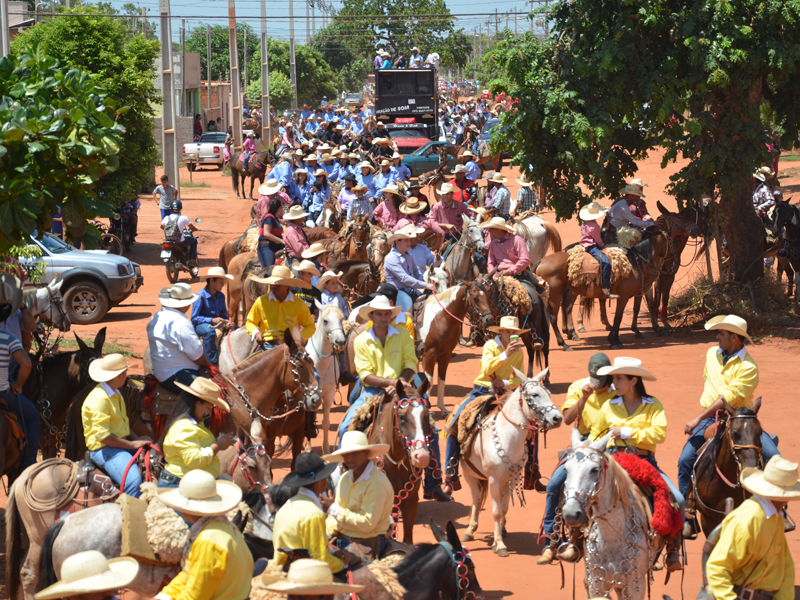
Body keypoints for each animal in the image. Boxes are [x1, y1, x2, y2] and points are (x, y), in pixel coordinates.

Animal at [304, 302, 346, 452]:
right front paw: (308, 448)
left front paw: (326, 449)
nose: (340, 342)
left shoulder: (329, 393)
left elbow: (326, 423)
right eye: (325, 321)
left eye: (342, 318)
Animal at [460, 366, 560, 556]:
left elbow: (504, 509)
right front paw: (499, 545)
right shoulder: (493, 479)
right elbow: (496, 511)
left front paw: (497, 539)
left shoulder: (510, 479)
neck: (508, 438)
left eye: (550, 393)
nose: (557, 418)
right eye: (535, 394)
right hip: (470, 475)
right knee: (476, 499)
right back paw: (469, 530)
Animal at [560, 432, 660, 600]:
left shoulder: (635, 586)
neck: (612, 536)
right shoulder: (596, 583)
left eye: (594, 469)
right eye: (566, 470)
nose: (571, 514)